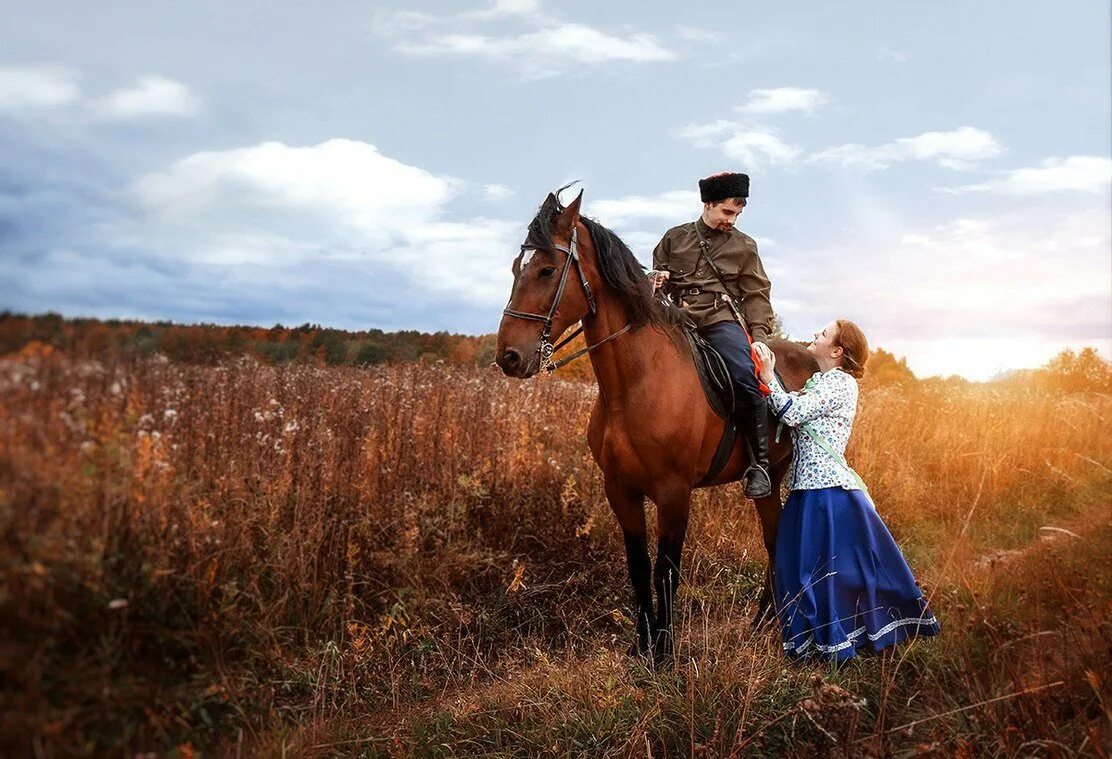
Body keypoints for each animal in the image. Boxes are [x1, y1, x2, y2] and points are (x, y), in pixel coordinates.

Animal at [498, 191, 818, 666]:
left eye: (546, 270)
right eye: (517, 268)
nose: (509, 357)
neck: (634, 385)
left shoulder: (674, 494)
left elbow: (666, 568)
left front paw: (663, 652)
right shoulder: (620, 490)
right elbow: (638, 565)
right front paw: (640, 646)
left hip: (783, 475)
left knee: (778, 539)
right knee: (775, 539)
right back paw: (765, 621)